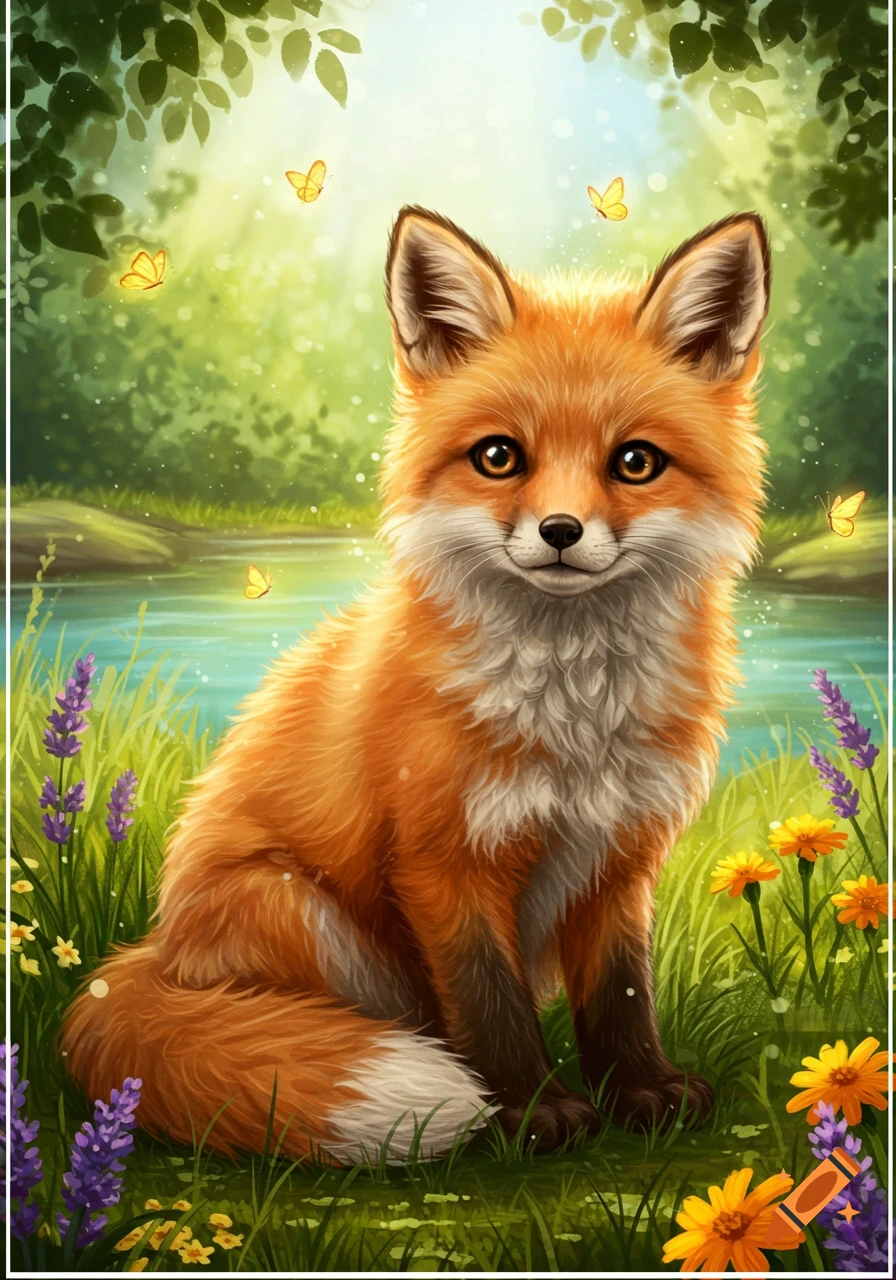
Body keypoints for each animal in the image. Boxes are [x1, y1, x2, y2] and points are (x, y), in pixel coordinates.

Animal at [62, 205, 770, 1163]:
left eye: (635, 462)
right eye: (499, 456)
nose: (560, 531)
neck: (574, 719)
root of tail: (153, 956)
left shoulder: (619, 855)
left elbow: (621, 995)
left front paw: (640, 1090)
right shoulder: (443, 858)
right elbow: (487, 1002)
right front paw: (525, 1111)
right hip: (302, 911)